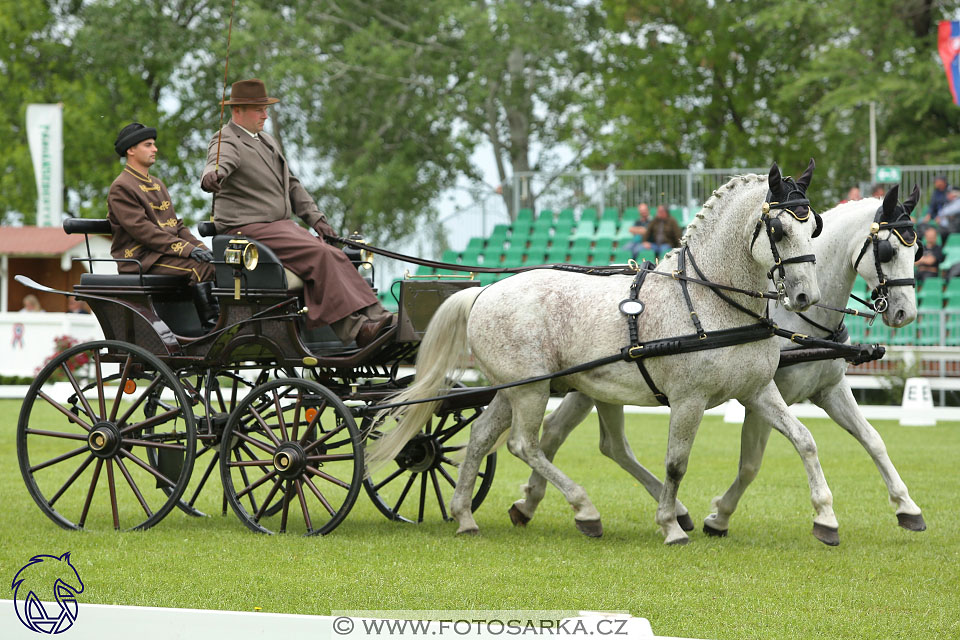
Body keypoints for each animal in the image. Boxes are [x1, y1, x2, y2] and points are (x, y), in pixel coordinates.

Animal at [372, 161, 828, 544]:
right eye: (779, 231)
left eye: (814, 229)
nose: (807, 297)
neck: (709, 300)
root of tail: (483, 291)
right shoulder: (688, 399)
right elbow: (676, 464)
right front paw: (670, 526)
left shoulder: (757, 391)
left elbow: (805, 440)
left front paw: (825, 517)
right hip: (532, 390)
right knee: (524, 444)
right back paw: (584, 509)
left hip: (513, 388)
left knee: (482, 437)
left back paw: (465, 515)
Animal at [510, 185, 924, 544]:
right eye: (887, 251)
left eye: (917, 251)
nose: (905, 313)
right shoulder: (761, 396)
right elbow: (752, 463)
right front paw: (720, 516)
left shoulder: (828, 389)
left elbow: (872, 440)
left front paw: (907, 507)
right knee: (555, 435)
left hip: (597, 387)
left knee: (590, 441)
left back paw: (537, 503)